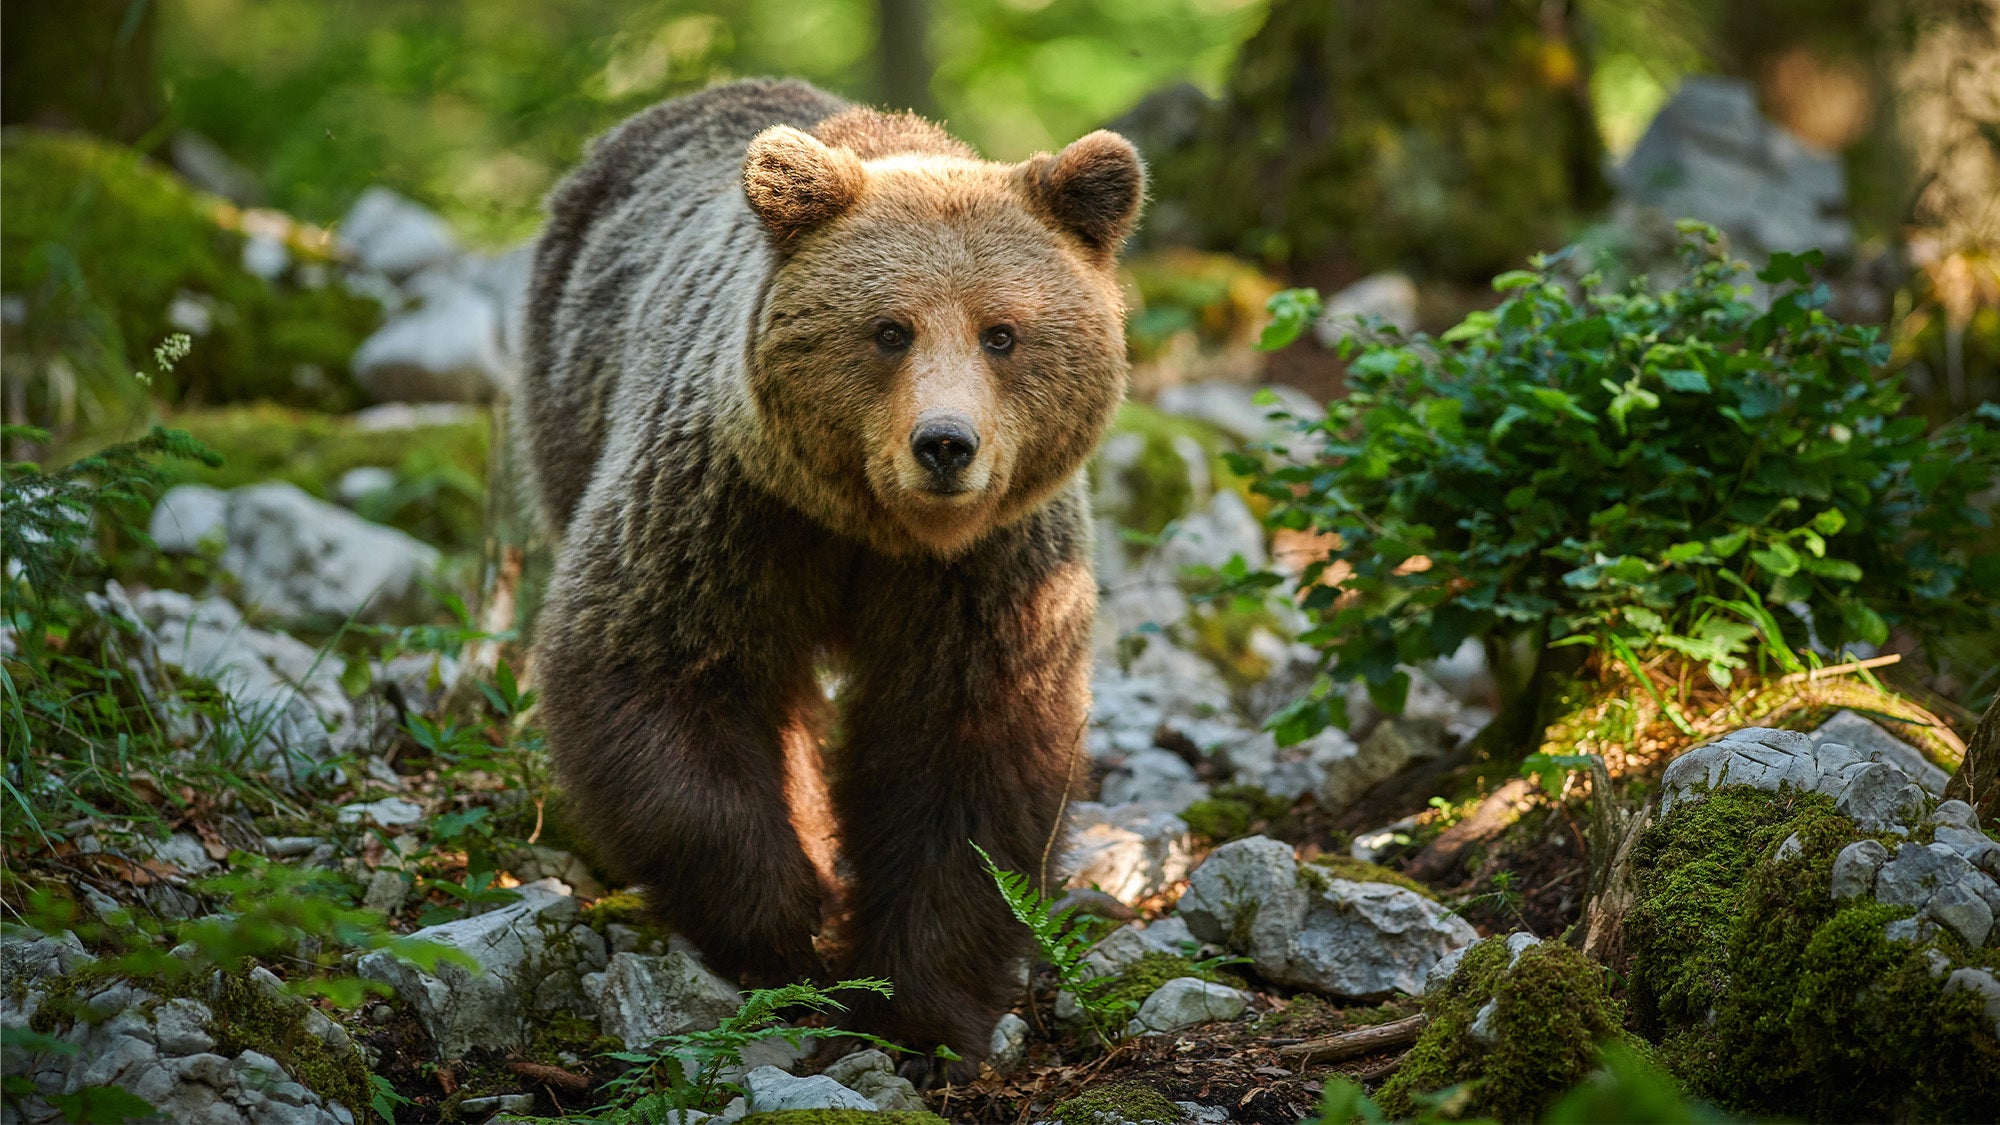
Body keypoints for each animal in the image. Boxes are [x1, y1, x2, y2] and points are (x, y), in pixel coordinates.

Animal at [518, 78, 1143, 1074]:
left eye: (1002, 333)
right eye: (890, 329)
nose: (944, 444)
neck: (876, 530)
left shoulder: (988, 571)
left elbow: (969, 755)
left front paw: (921, 1008)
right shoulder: (733, 512)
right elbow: (653, 672)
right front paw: (788, 924)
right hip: (570, 395)